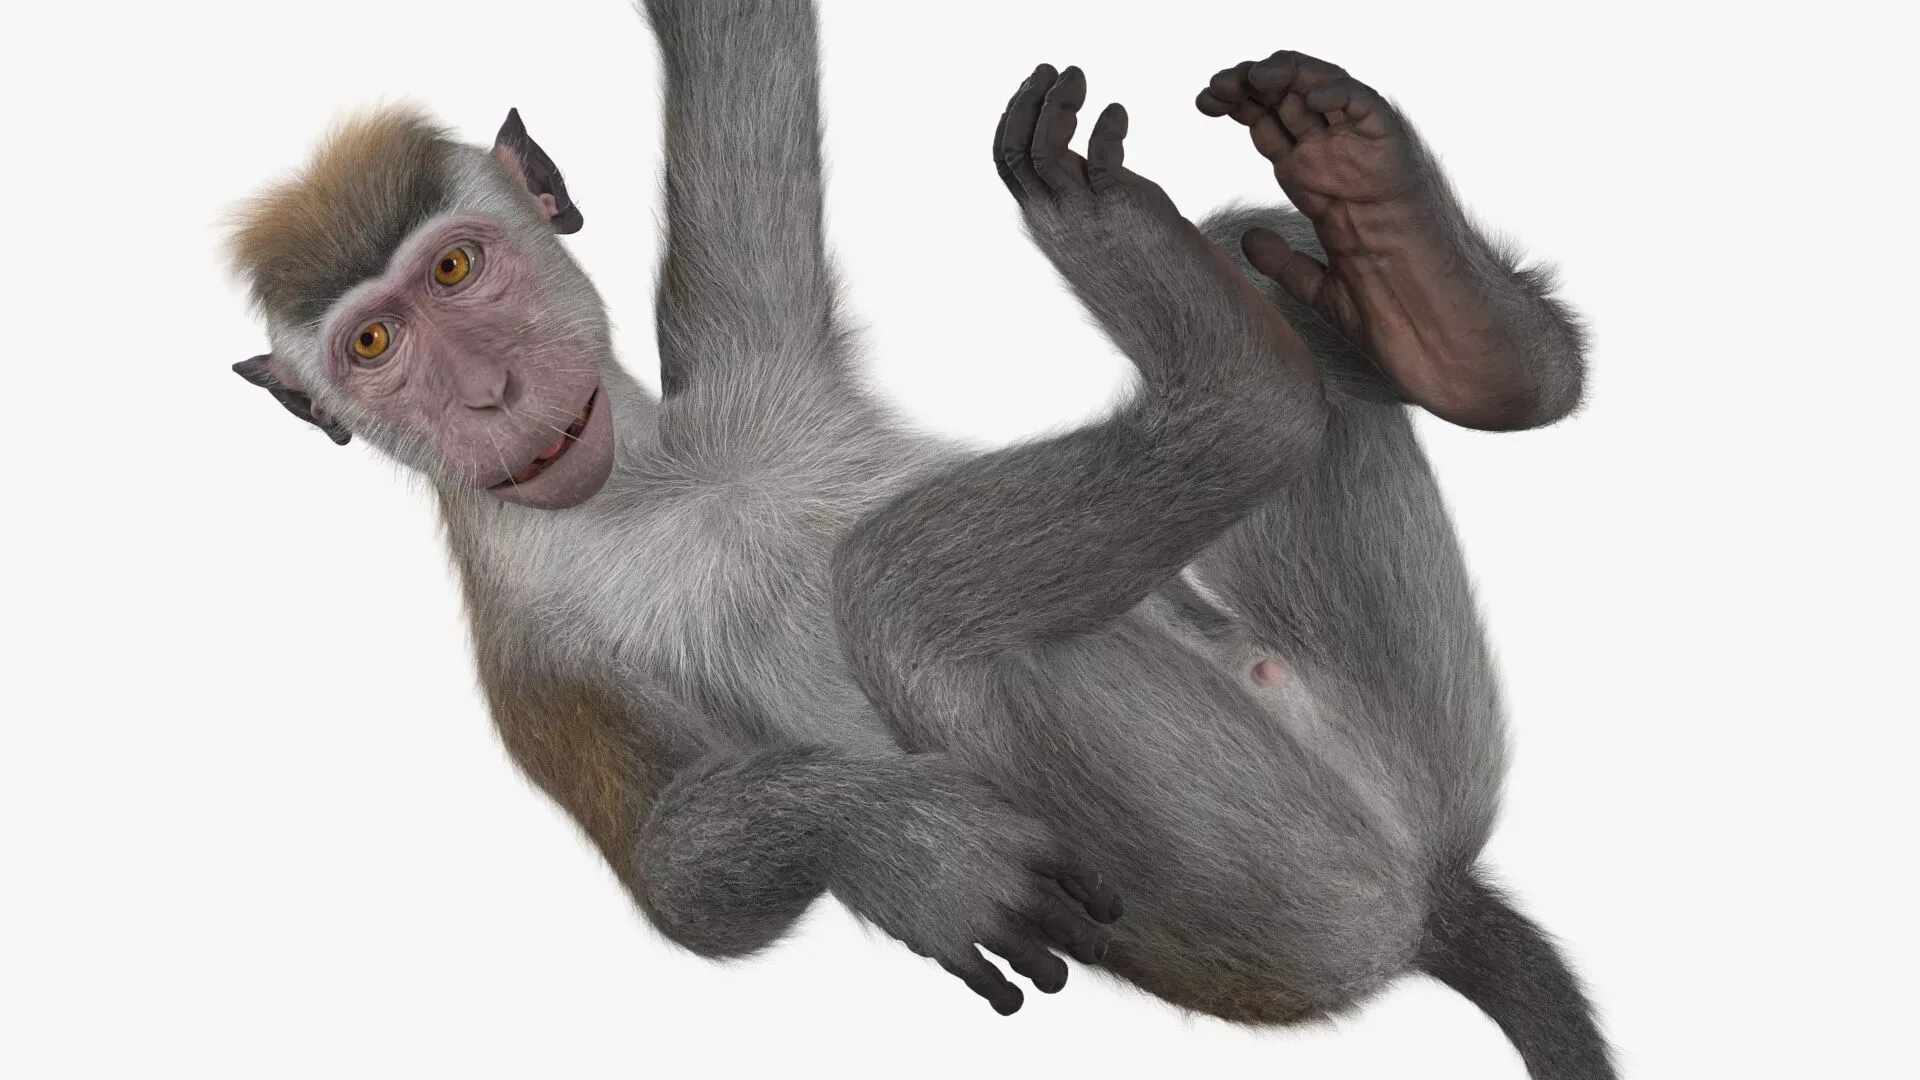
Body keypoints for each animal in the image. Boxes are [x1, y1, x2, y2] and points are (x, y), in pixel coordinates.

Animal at [223, 3, 1610, 1078]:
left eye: (457, 271)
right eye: (372, 345)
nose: (486, 398)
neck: (655, 486)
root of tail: (1421, 909)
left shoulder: (754, 359)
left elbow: (741, 42)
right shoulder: (528, 641)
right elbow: (681, 884)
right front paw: (908, 855)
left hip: (1415, 748)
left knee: (1245, 270)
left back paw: (1432, 308)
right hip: (1287, 900)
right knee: (891, 594)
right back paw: (1241, 387)